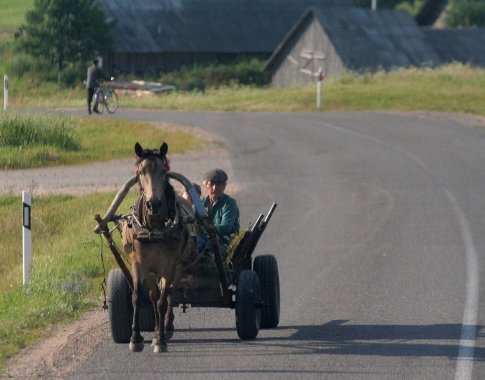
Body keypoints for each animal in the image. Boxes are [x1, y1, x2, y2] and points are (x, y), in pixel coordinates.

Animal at [120, 142, 196, 354]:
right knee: (154, 295)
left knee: (169, 293)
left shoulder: (169, 266)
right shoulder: (139, 265)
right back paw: (155, 328)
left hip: (178, 267)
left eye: (164, 171)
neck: (154, 230)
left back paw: (165, 326)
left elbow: (163, 301)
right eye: (140, 170)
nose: (153, 203)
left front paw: (160, 340)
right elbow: (138, 297)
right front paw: (136, 338)